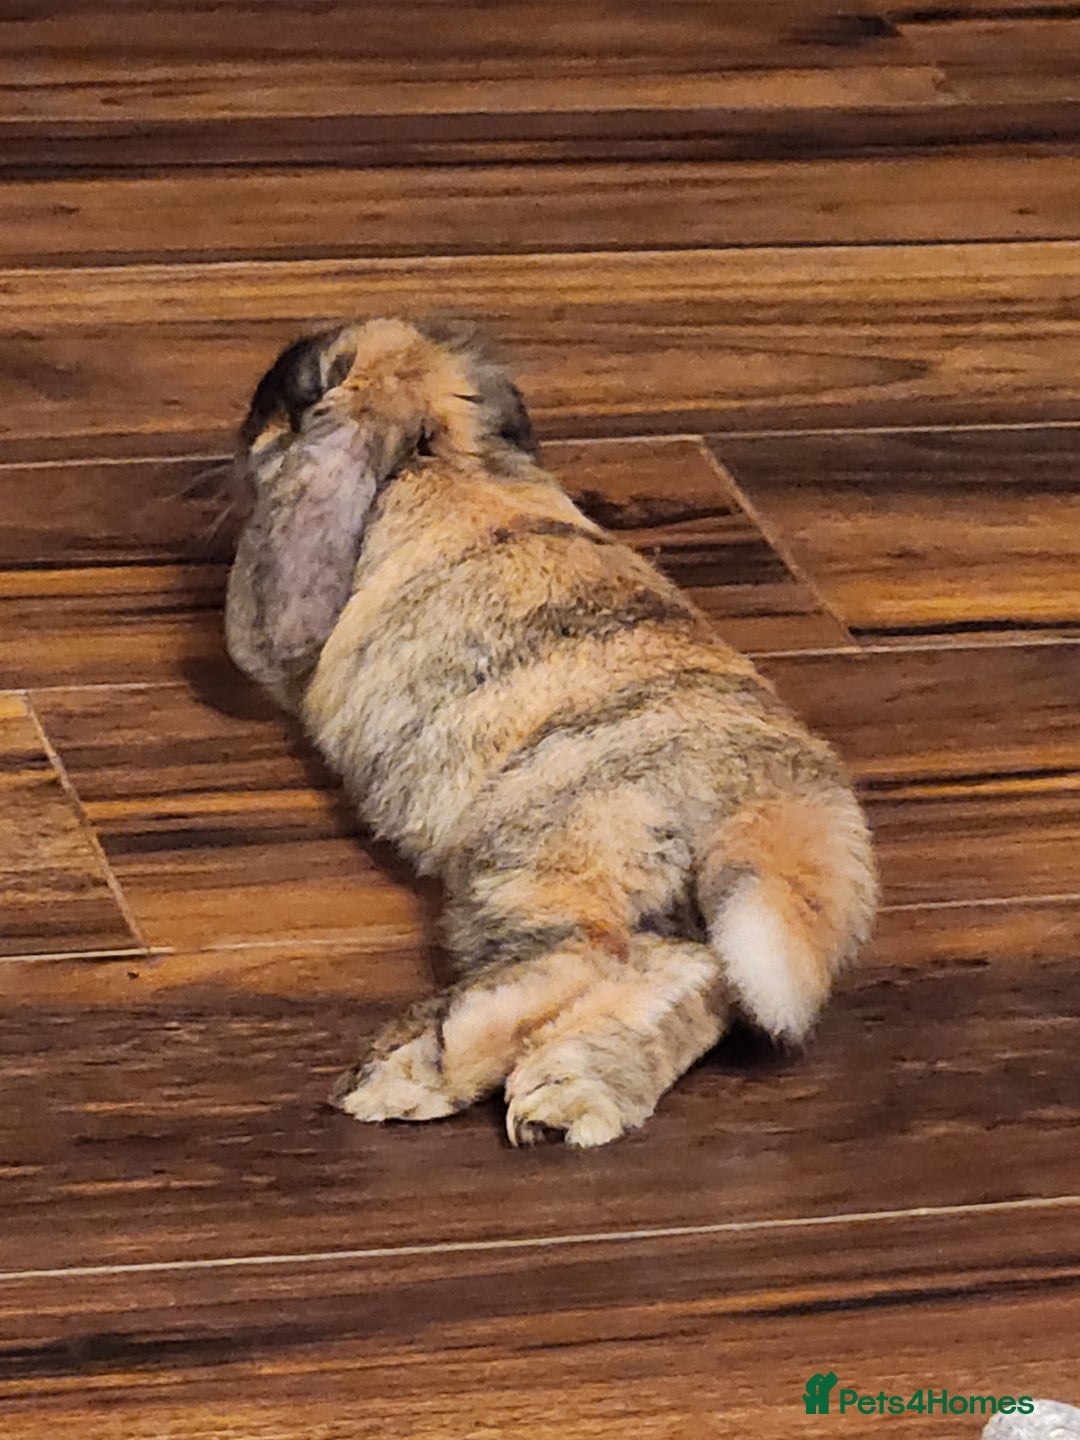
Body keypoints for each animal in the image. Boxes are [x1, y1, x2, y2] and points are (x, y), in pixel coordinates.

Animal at [225, 317, 878, 1148]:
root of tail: (782, 808)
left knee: (588, 955)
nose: (246, 423)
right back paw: (565, 1098)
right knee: (686, 977)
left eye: (301, 387)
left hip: (537, 853)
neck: (440, 454)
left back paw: (410, 1074)